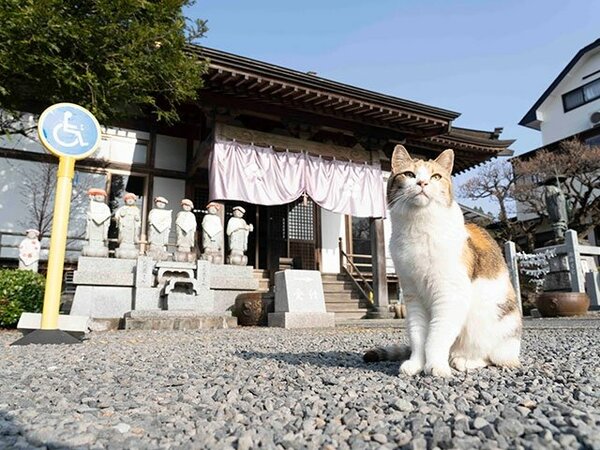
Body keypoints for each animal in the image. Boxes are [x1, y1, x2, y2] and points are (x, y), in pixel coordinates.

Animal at [364, 145, 524, 376]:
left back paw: (462, 360)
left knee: (493, 358)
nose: (423, 183)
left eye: (436, 176)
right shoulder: (413, 296)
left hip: (496, 326)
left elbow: (436, 336)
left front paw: (435, 366)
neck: (418, 228)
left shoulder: (449, 294)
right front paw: (416, 364)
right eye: (409, 174)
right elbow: (418, 336)